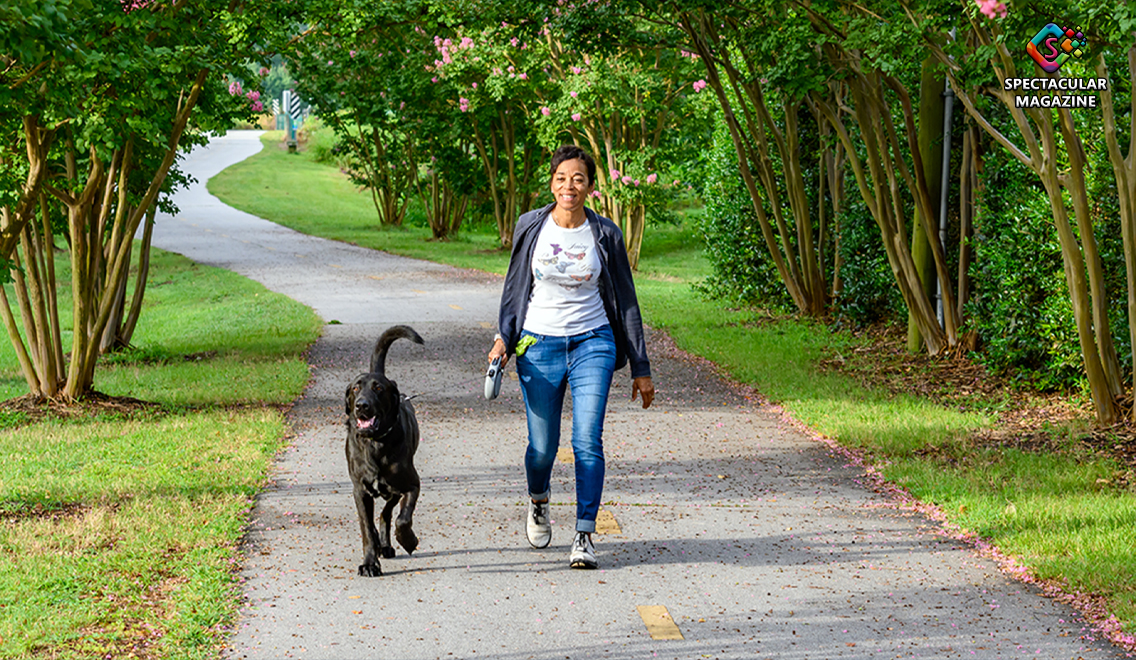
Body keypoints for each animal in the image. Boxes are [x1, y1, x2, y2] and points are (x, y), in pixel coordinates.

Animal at [343, 324, 424, 577]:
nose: (362, 405)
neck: (376, 444)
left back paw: (387, 544)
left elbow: (402, 519)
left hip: (394, 490)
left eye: (378, 388)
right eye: (356, 388)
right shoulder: (360, 491)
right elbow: (366, 529)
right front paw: (370, 563)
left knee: (387, 513)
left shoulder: (412, 485)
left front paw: (408, 540)